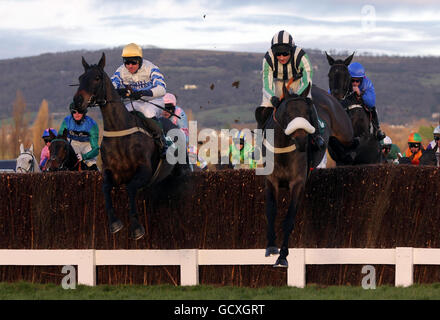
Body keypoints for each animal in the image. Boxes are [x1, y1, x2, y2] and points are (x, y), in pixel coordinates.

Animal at [72, 53, 175, 241]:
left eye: (97, 78)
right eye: (81, 78)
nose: (77, 101)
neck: (119, 130)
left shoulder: (144, 171)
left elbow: (130, 188)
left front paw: (137, 227)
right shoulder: (111, 172)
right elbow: (105, 188)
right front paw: (114, 223)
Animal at [258, 83, 354, 268]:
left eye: (309, 113)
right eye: (287, 113)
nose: (302, 141)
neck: (283, 150)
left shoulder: (298, 183)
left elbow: (289, 219)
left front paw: (283, 256)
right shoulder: (271, 181)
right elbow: (271, 211)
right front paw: (271, 247)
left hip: (345, 131)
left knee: (354, 142)